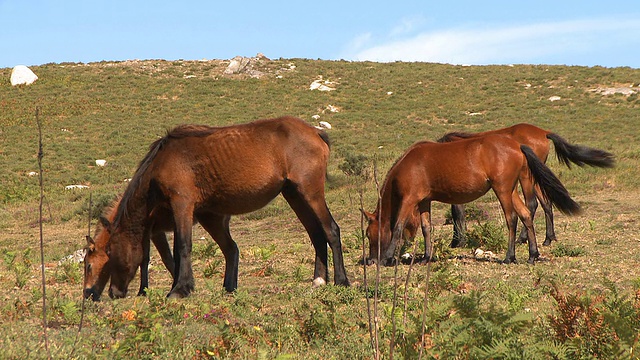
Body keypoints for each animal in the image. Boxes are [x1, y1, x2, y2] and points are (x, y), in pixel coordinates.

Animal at [83, 116, 350, 300]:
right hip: (294, 195)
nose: (113, 293)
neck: (161, 161)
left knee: (331, 230)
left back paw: (341, 281)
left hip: (310, 192)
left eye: (93, 263)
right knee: (315, 234)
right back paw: (318, 280)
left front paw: (179, 290)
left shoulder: (182, 205)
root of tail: (316, 132)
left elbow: (181, 247)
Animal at [362, 134, 584, 266]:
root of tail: (518, 146)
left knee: (512, 218)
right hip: (512, 190)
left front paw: (388, 257)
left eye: (369, 234)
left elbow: (398, 226)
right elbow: (426, 228)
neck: (409, 164)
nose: (371, 261)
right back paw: (532, 254)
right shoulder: (424, 201)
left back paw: (509, 256)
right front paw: (426, 257)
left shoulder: (409, 199)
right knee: (526, 215)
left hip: (502, 190)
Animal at [440, 124, 616, 248]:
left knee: (532, 204)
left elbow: (457, 212)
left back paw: (522, 238)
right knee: (546, 203)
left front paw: (457, 241)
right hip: (536, 177)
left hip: (527, 177)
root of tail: (543, 132)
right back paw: (548, 238)